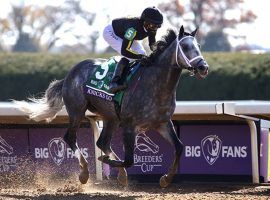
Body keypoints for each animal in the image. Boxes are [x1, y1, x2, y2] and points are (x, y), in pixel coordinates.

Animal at [14, 26, 209, 188]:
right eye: (185, 47)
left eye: (198, 45)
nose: (203, 67)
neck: (155, 85)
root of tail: (70, 74)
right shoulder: (130, 126)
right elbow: (129, 160)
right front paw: (104, 160)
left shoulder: (162, 122)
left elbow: (179, 147)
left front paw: (166, 179)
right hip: (77, 111)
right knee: (70, 137)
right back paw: (85, 172)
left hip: (111, 117)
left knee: (102, 142)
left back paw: (120, 175)